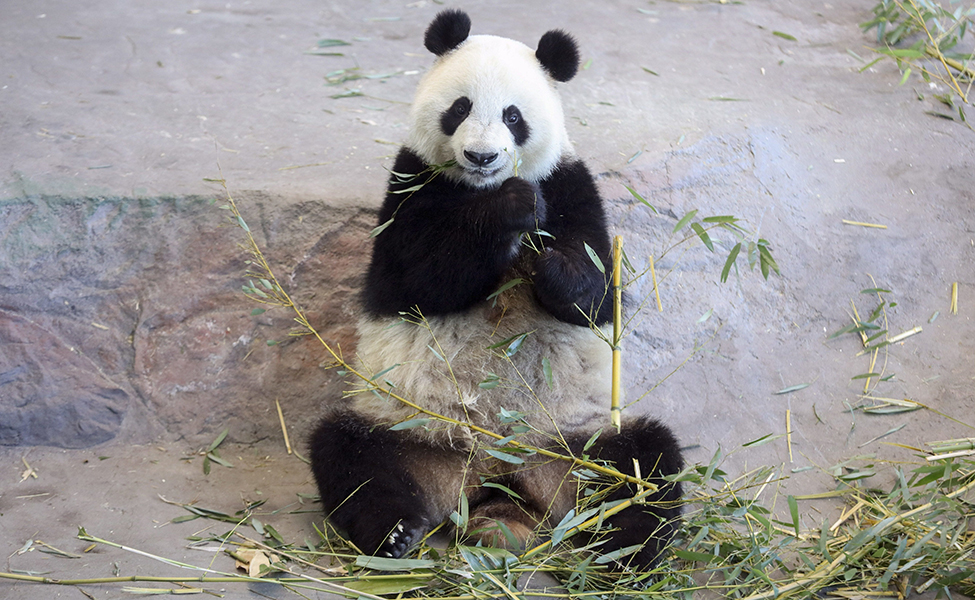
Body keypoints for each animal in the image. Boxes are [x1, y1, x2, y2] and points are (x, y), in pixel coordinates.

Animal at [308, 10, 684, 572]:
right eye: (459, 108)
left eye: (513, 116)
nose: (481, 156)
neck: (480, 187)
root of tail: (494, 482)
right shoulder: (412, 182)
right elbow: (418, 278)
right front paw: (510, 210)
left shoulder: (570, 182)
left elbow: (598, 298)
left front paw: (550, 264)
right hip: (406, 428)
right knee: (349, 456)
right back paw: (395, 534)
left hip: (575, 439)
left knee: (641, 465)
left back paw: (625, 553)